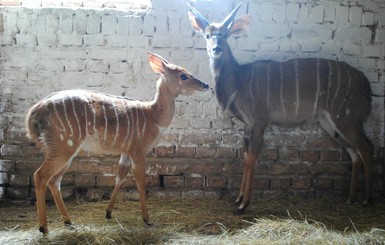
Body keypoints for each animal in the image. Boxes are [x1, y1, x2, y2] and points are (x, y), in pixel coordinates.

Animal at [25, 52, 208, 234]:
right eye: (183, 76)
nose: (205, 84)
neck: (154, 117)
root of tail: (36, 111)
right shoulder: (138, 150)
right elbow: (141, 183)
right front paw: (147, 220)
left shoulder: (125, 152)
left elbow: (119, 177)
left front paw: (108, 213)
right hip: (63, 147)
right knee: (40, 176)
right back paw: (44, 227)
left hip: (66, 151)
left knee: (54, 180)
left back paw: (69, 222)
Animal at [188, 3, 374, 214]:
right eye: (207, 35)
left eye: (226, 34)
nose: (216, 48)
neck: (239, 81)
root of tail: (365, 83)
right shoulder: (248, 125)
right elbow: (245, 157)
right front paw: (238, 199)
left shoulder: (260, 122)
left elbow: (252, 158)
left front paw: (243, 204)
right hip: (329, 123)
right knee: (354, 153)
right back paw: (350, 198)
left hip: (347, 119)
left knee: (366, 147)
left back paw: (366, 200)